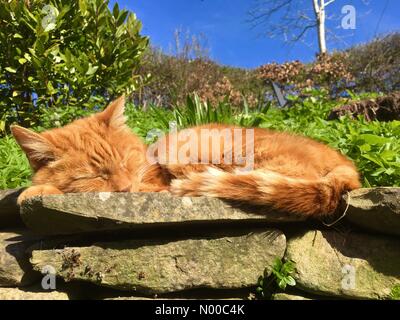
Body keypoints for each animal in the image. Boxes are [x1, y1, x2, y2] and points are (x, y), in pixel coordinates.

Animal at [12, 96, 360, 218]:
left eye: (126, 162)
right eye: (94, 175)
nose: (123, 188)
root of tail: (348, 168)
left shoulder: (155, 185)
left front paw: (34, 191)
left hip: (182, 150)